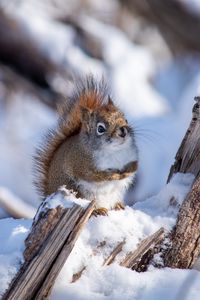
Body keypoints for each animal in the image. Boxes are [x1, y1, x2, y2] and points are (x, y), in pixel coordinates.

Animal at [34, 75, 138, 216]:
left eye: (125, 119)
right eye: (100, 129)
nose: (123, 130)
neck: (114, 150)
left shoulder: (133, 155)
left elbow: (135, 166)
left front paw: (127, 172)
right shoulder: (82, 164)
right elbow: (94, 176)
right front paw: (114, 175)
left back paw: (118, 205)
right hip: (78, 191)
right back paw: (98, 210)